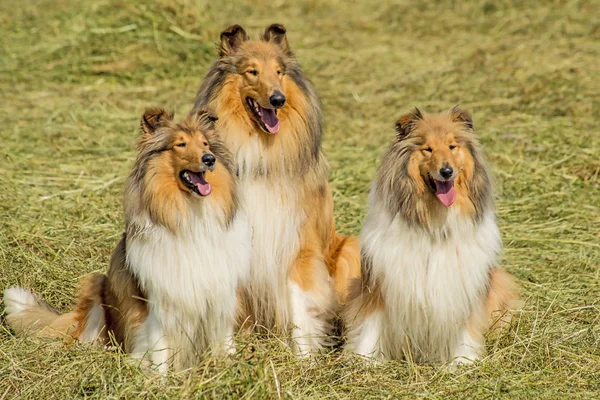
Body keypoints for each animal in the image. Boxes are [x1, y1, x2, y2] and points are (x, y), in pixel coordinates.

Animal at [3, 107, 250, 372]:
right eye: (180, 144)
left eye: (205, 144)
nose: (209, 159)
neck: (190, 214)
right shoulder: (157, 299)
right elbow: (159, 348)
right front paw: (159, 378)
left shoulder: (221, 294)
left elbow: (224, 339)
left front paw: (230, 368)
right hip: (96, 285)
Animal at [195, 23, 358, 352]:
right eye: (252, 72)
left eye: (279, 71)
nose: (278, 99)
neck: (261, 155)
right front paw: (229, 352)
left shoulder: (296, 243)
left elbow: (301, 305)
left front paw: (304, 356)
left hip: (349, 251)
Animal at [344, 108, 516, 364]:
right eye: (428, 149)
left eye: (452, 146)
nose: (446, 171)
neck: (434, 223)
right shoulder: (380, 283)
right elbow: (370, 324)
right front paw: (364, 360)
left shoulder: (463, 285)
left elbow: (465, 326)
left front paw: (462, 362)